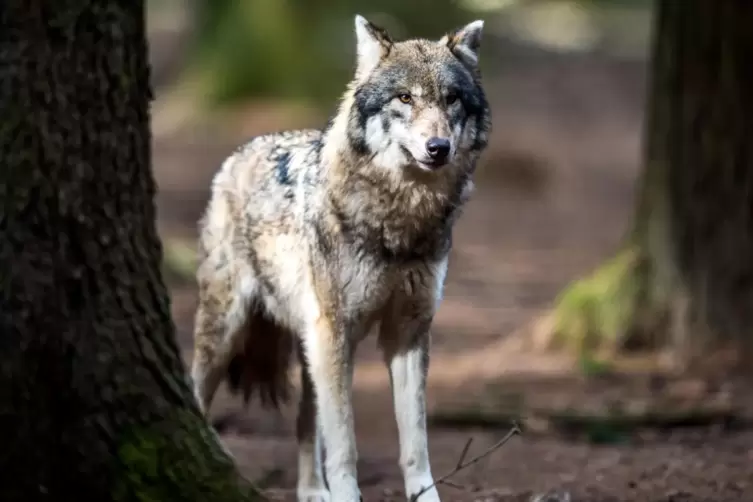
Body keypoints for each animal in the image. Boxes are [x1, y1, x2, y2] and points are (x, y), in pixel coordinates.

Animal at [191, 13, 490, 500]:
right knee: (197, 393)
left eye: (451, 99)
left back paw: (313, 491)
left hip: (311, 344)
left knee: (304, 423)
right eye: (405, 98)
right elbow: (345, 441)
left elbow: (416, 444)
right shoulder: (337, 331)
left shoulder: (408, 333)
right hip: (230, 332)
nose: (438, 148)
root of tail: (240, 152)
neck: (399, 221)